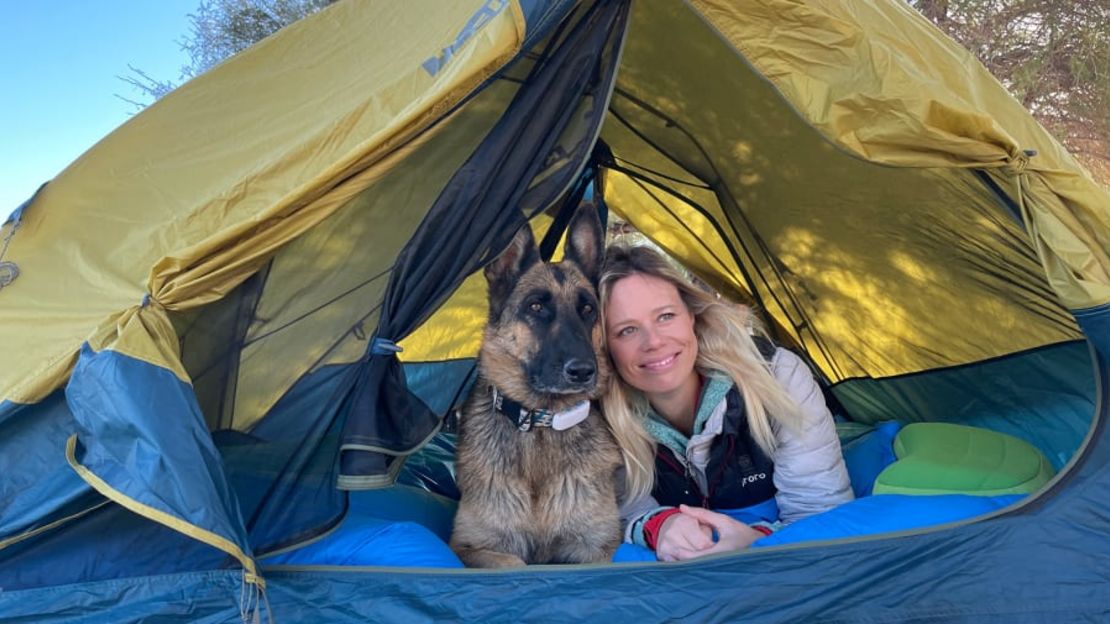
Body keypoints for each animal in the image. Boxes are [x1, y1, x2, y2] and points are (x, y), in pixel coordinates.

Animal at [450, 206, 626, 566]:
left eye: (587, 309)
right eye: (536, 306)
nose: (583, 371)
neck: (541, 423)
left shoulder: (596, 552)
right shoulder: (470, 546)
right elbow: (512, 564)